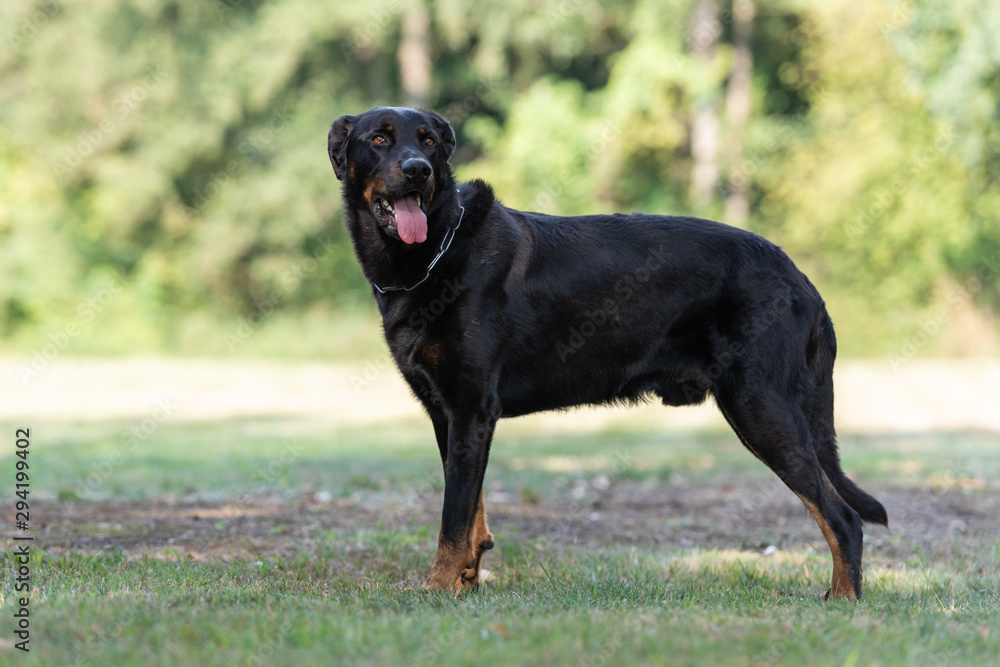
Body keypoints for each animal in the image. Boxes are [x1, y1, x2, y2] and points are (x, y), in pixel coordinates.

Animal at [326, 105, 884, 600]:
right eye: (380, 138)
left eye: (428, 142)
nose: (417, 171)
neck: (434, 250)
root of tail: (802, 281)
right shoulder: (449, 413)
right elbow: (471, 511)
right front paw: (466, 579)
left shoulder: (470, 407)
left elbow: (453, 516)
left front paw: (437, 588)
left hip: (759, 406)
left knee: (844, 518)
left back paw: (844, 599)